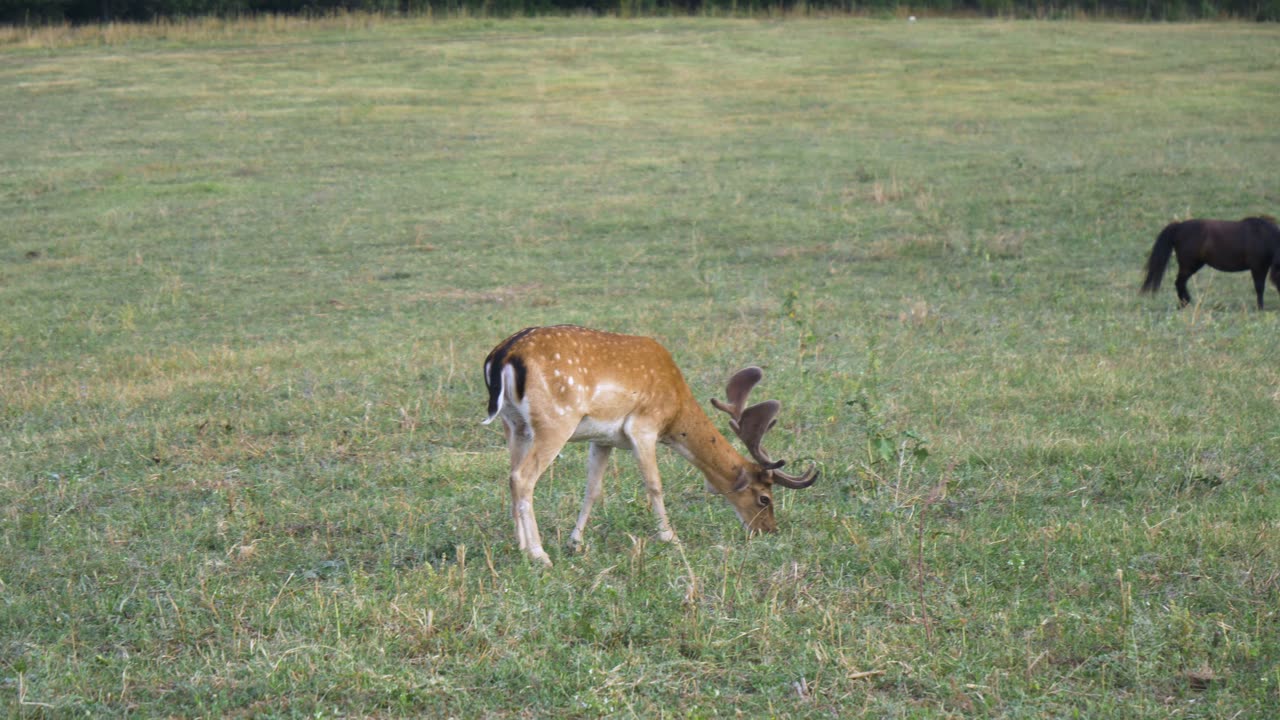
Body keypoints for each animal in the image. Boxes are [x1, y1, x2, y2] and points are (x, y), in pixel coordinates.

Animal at [483, 325, 814, 566]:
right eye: (764, 498)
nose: (768, 530)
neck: (675, 412)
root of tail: (503, 355)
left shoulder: (602, 439)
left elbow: (593, 489)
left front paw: (575, 542)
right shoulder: (643, 426)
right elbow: (654, 484)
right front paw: (670, 537)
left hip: (514, 425)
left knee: (511, 476)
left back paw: (520, 545)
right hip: (555, 422)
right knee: (523, 477)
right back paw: (539, 554)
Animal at [1141, 213, 1280, 307]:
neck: (1264, 237)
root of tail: (1178, 227)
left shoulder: (1263, 267)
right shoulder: (1258, 267)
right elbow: (1259, 287)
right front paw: (1260, 308)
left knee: (1180, 283)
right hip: (1189, 266)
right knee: (1179, 282)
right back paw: (1185, 303)